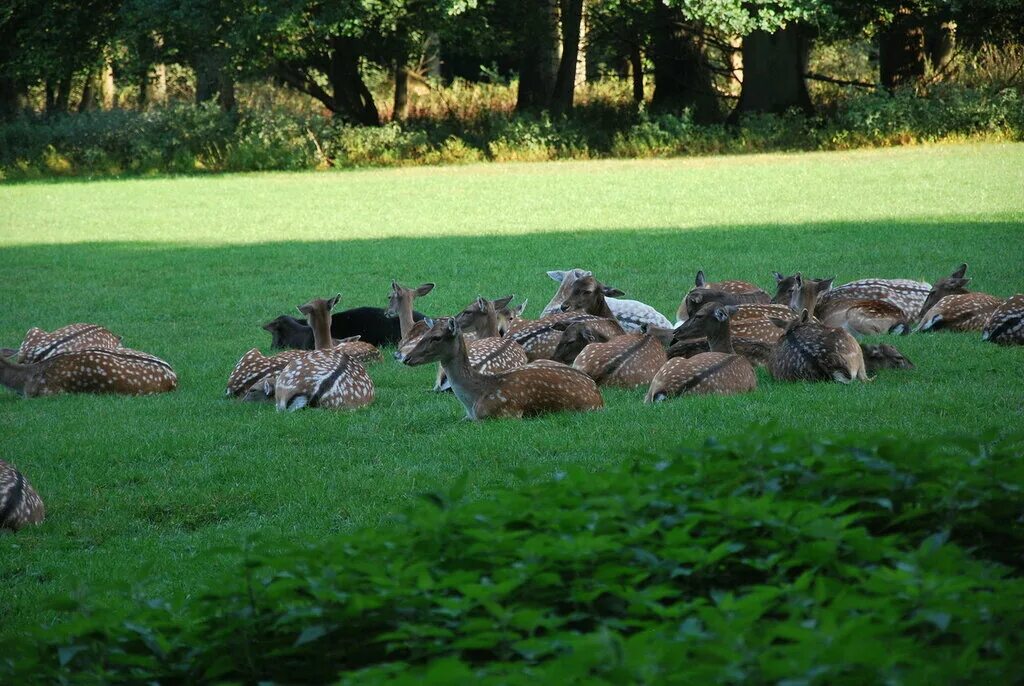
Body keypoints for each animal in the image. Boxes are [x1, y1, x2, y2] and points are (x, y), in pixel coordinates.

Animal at [401, 319, 606, 421]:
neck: (474, 401)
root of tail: (598, 396)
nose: (407, 358)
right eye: (425, 334)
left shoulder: (508, 414)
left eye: (436, 337)